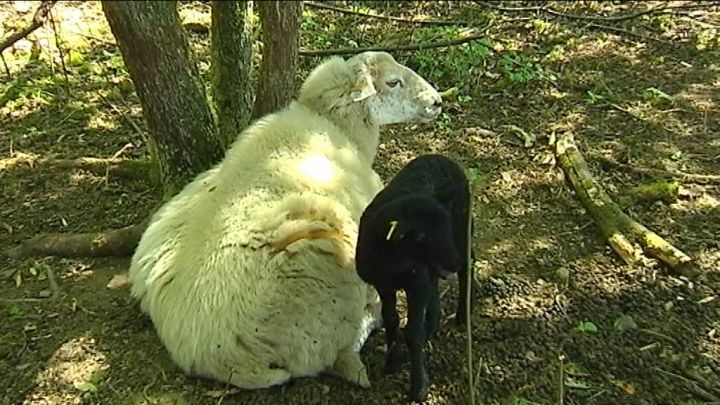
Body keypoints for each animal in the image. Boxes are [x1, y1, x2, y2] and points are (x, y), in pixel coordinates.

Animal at [356, 152, 478, 400]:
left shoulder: (416, 286)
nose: (453, 261)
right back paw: (433, 323)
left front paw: (418, 387)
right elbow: (391, 318)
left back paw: (462, 314)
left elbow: (413, 333)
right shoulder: (385, 285)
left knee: (468, 264)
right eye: (420, 236)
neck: (394, 264)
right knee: (437, 282)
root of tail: (438, 156)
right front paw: (391, 361)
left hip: (463, 227)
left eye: (445, 225)